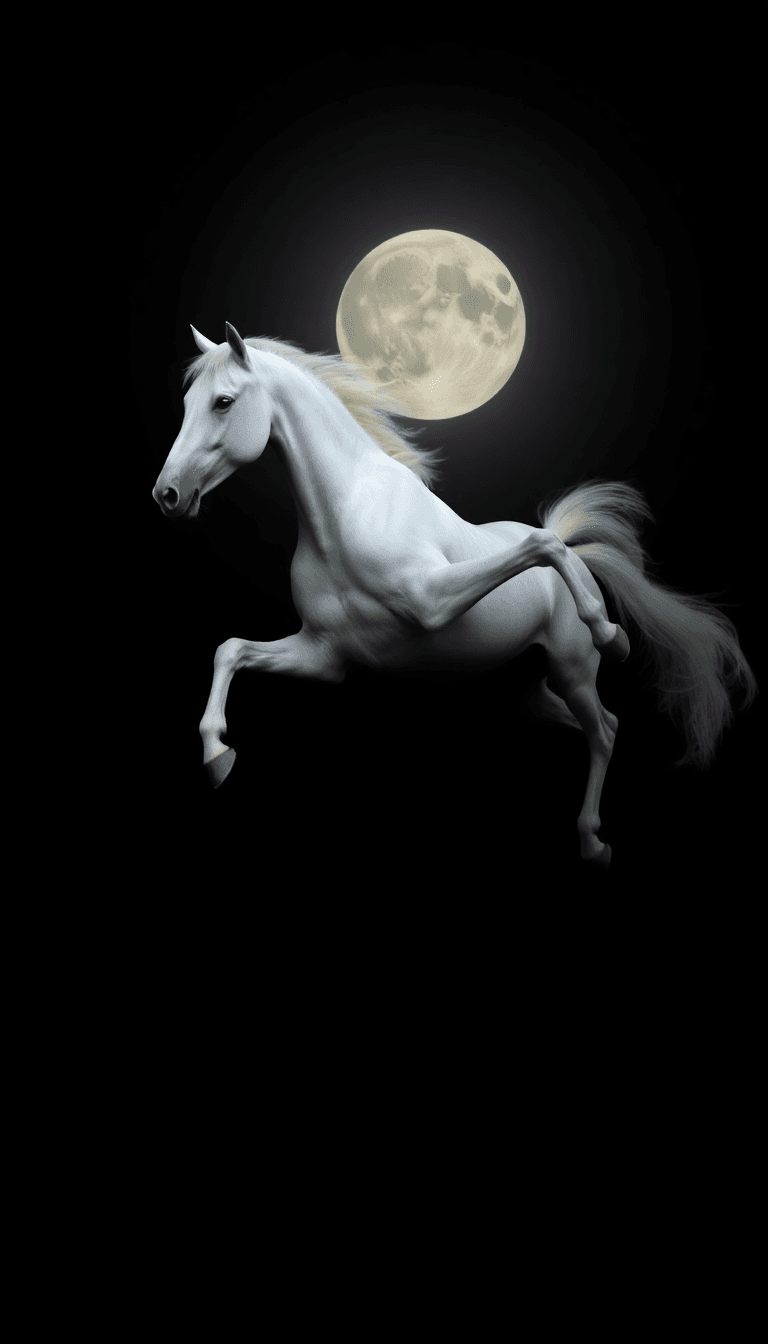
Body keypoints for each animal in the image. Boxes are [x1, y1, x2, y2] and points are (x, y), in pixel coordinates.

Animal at [152, 322, 757, 867]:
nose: (167, 495)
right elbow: (229, 649)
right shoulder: (324, 655)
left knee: (602, 725)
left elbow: (539, 544)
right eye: (185, 402)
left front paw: (614, 636)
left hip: (573, 668)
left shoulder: (429, 603)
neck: (346, 516)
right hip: (532, 683)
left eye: (223, 402)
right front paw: (217, 754)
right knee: (591, 721)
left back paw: (592, 837)